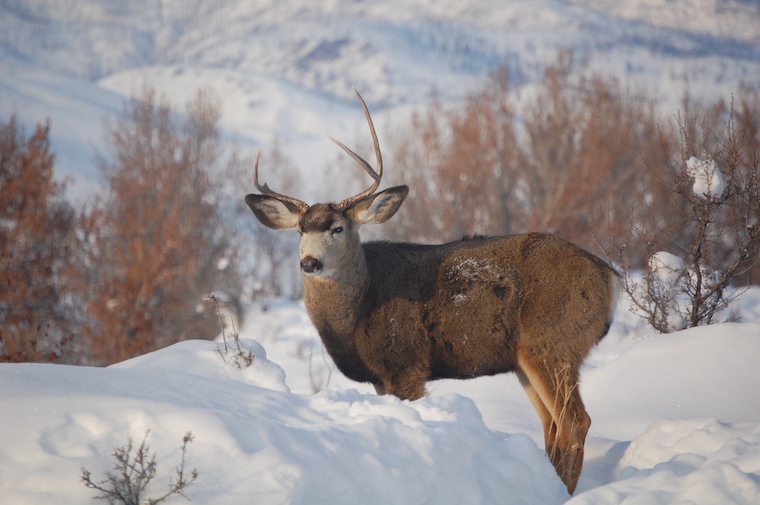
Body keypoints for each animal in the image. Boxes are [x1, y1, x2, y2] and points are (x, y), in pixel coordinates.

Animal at [245, 89, 619, 495]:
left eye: (337, 228)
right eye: (300, 230)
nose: (309, 262)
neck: (359, 310)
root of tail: (607, 276)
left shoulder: (406, 363)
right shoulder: (381, 379)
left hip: (553, 341)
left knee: (575, 422)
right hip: (525, 357)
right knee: (552, 425)